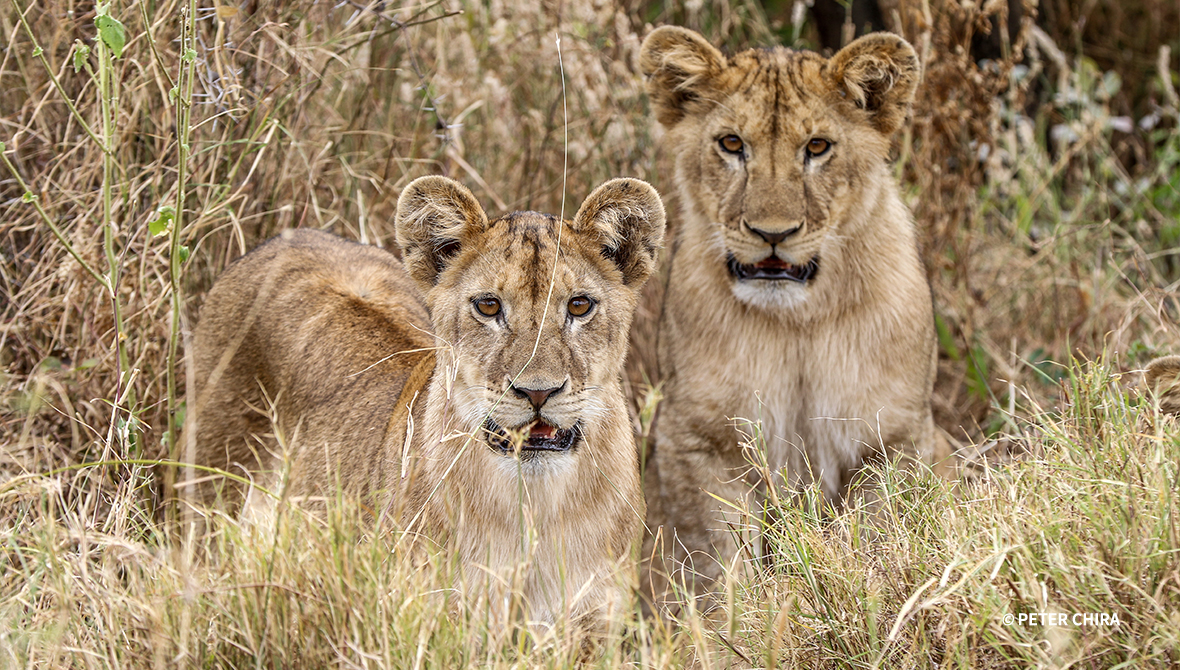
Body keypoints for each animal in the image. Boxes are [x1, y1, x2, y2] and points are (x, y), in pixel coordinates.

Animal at [187, 175, 665, 632]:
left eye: (579, 305)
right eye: (488, 306)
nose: (537, 392)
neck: (534, 505)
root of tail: (289, 236)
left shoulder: (594, 617)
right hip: (210, 488)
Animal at [636, 26, 952, 600]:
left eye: (818, 147)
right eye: (732, 144)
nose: (773, 234)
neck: (796, 324)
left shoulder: (892, 439)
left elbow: (879, 536)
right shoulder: (700, 441)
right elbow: (717, 557)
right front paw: (734, 618)